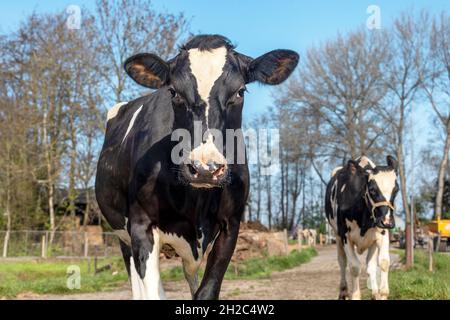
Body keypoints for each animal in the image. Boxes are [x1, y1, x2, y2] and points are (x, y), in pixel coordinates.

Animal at [95, 35, 298, 300]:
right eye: (174, 92)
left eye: (240, 91)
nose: (205, 168)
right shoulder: (141, 225)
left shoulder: (230, 225)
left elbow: (206, 291)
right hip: (123, 236)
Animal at [326, 156, 400, 300]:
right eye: (372, 190)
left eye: (396, 190)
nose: (387, 221)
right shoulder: (345, 236)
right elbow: (354, 267)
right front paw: (355, 295)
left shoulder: (382, 234)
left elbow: (383, 262)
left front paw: (381, 293)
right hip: (337, 236)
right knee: (342, 261)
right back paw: (343, 291)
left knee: (371, 266)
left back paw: (375, 292)